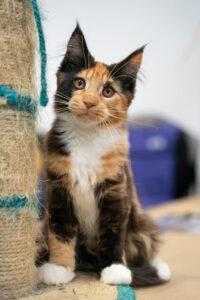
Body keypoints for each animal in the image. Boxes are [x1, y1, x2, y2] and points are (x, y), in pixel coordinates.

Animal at [38, 24, 171, 288]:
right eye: (79, 83)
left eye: (108, 91)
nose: (89, 102)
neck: (86, 139)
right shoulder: (58, 189)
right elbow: (60, 232)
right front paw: (59, 267)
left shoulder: (115, 190)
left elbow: (112, 233)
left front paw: (115, 270)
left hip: (141, 222)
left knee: (145, 243)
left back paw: (158, 267)